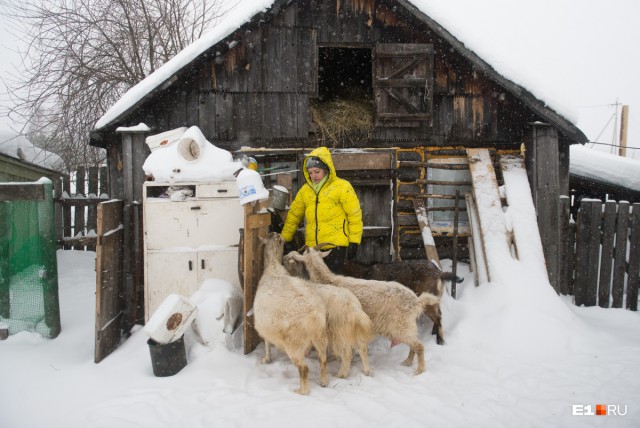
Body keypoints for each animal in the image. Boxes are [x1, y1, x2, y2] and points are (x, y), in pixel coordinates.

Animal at [252, 232, 328, 396]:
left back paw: (299, 391)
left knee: (304, 369)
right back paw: (323, 382)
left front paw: (266, 359)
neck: (273, 266)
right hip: (321, 338)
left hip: (294, 344)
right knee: (323, 359)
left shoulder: (265, 325)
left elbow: (266, 342)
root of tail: (314, 318)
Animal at [292, 247, 438, 374]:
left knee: (419, 345)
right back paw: (407, 362)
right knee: (414, 344)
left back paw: (419, 370)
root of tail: (416, 301)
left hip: (400, 326)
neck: (329, 280)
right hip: (407, 325)